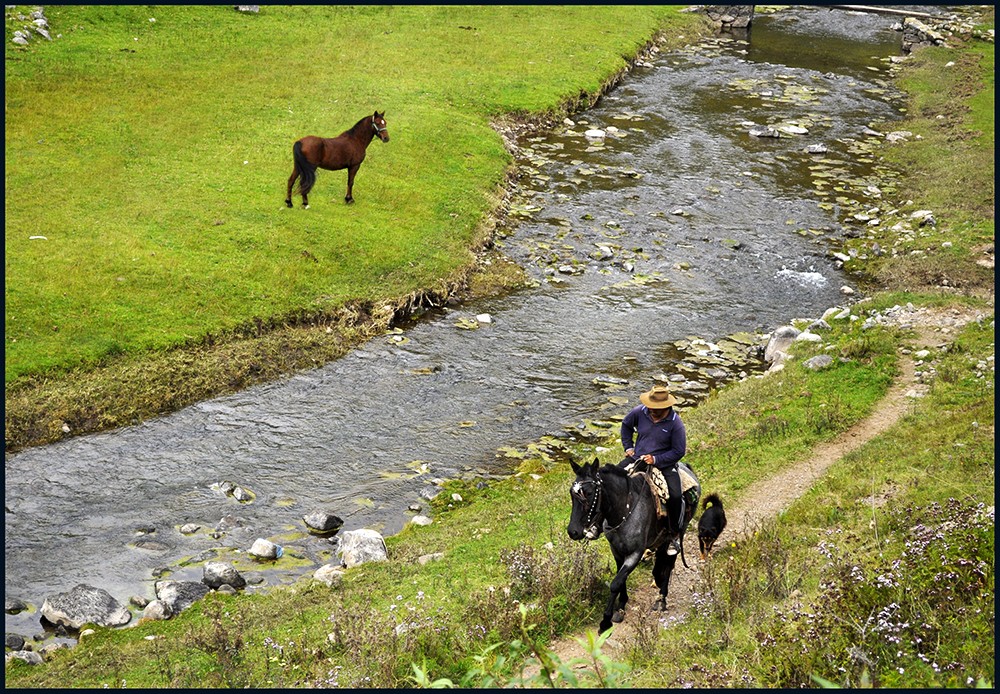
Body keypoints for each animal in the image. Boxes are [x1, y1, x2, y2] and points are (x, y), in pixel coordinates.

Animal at [568, 460, 700, 632]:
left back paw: (661, 599)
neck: (625, 509)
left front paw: (606, 621)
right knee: (662, 562)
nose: (573, 531)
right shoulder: (616, 550)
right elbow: (620, 578)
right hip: (661, 539)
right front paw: (621, 607)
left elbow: (615, 583)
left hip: (676, 531)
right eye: (572, 493)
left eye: (589, 493)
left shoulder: (635, 553)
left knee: (670, 561)